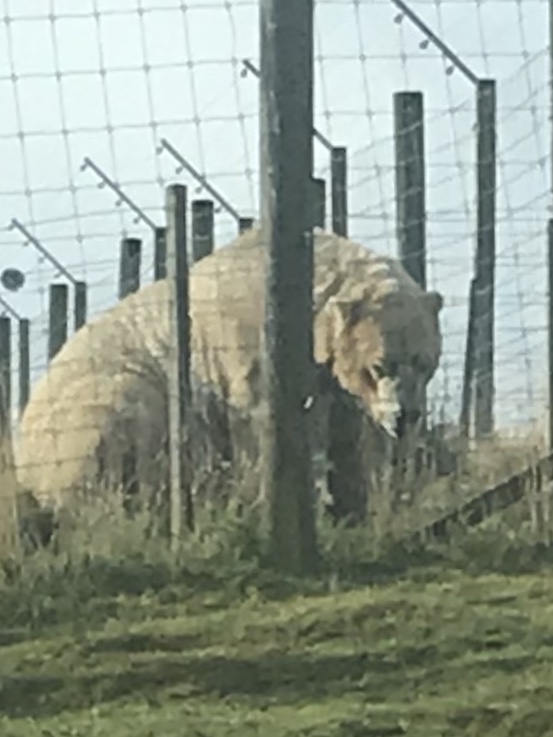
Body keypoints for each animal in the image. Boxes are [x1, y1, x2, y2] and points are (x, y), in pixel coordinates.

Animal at [14, 227, 443, 513]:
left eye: (424, 362)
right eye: (379, 365)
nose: (406, 416)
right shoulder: (245, 348)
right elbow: (258, 422)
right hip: (91, 402)